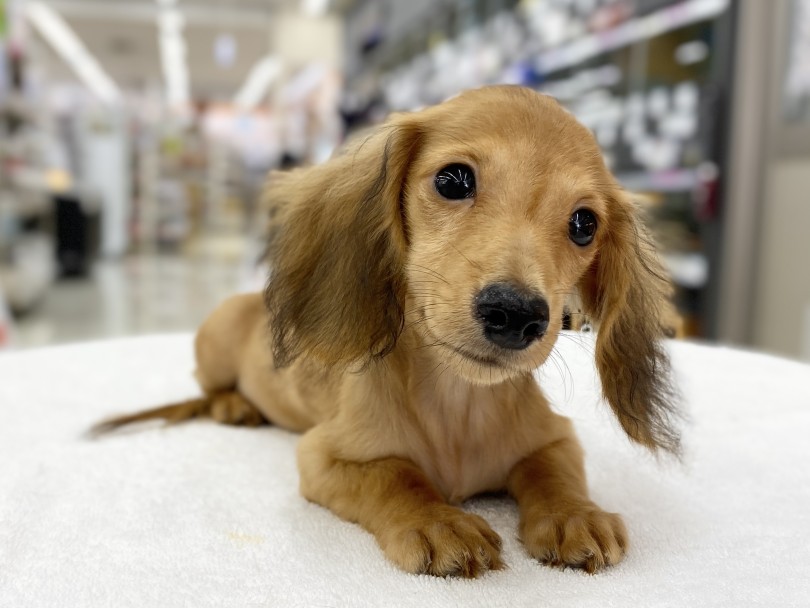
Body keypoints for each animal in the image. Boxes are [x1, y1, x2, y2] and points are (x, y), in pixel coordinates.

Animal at [93, 84, 676, 576]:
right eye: (453, 179)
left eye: (584, 224)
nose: (516, 315)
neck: (459, 405)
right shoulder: (324, 456)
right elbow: (395, 475)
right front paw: (438, 521)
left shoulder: (556, 437)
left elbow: (553, 471)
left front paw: (575, 513)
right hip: (214, 336)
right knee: (208, 386)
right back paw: (234, 404)